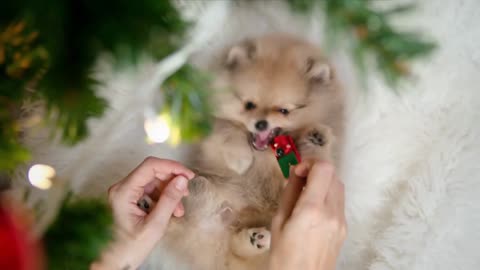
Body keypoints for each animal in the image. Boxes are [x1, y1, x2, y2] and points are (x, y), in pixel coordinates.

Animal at [147, 34, 344, 270]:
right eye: (249, 105)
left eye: (284, 111)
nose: (261, 124)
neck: (265, 153)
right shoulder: (214, 135)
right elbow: (227, 128)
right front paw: (241, 159)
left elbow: (314, 159)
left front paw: (317, 138)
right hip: (205, 189)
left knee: (240, 249)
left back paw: (257, 239)